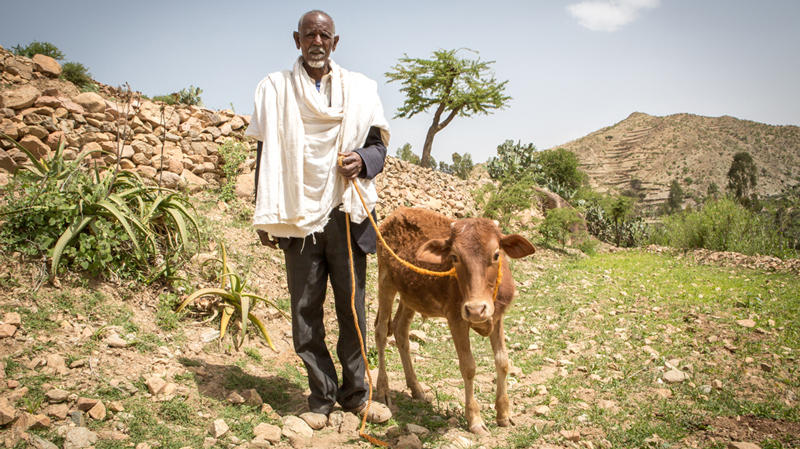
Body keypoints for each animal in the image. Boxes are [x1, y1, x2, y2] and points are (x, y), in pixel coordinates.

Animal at [376, 207, 536, 434]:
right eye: (454, 257)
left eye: (496, 254)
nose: (476, 309)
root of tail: (398, 212)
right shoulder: (456, 318)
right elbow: (468, 366)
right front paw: (475, 419)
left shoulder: (497, 317)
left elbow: (503, 361)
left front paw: (503, 414)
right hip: (385, 280)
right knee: (381, 331)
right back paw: (383, 389)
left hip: (411, 294)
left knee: (400, 330)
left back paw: (416, 388)